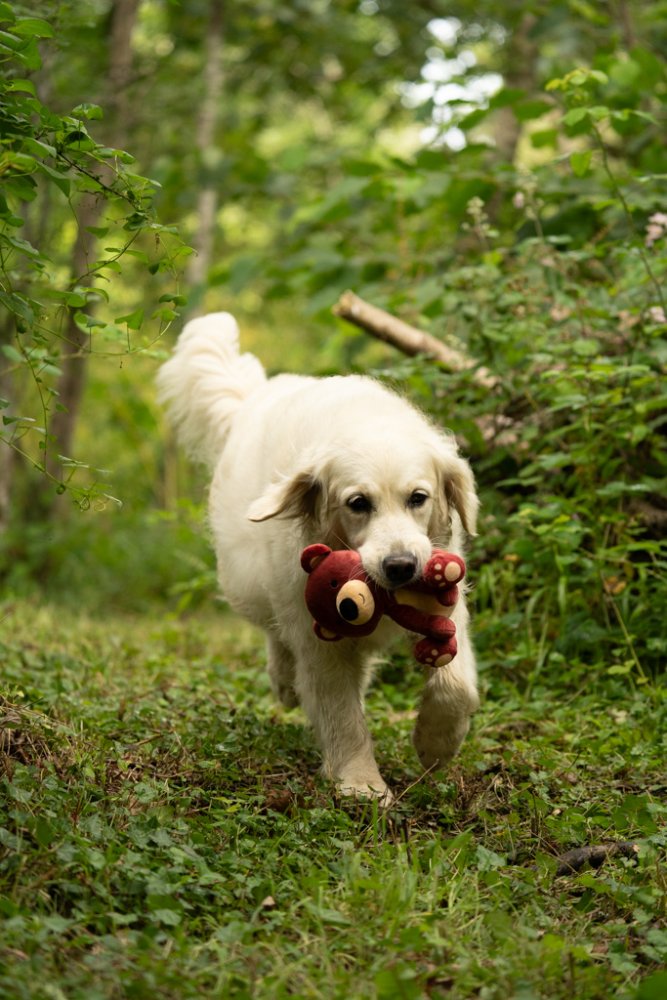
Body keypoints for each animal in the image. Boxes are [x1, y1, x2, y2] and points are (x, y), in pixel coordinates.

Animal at [157, 312, 480, 804]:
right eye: (358, 503)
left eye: (418, 498)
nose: (401, 567)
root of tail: (255, 396)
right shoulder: (316, 634)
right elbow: (339, 711)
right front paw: (360, 782)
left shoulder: (448, 603)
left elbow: (456, 684)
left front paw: (436, 742)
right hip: (248, 579)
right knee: (275, 632)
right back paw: (284, 680)